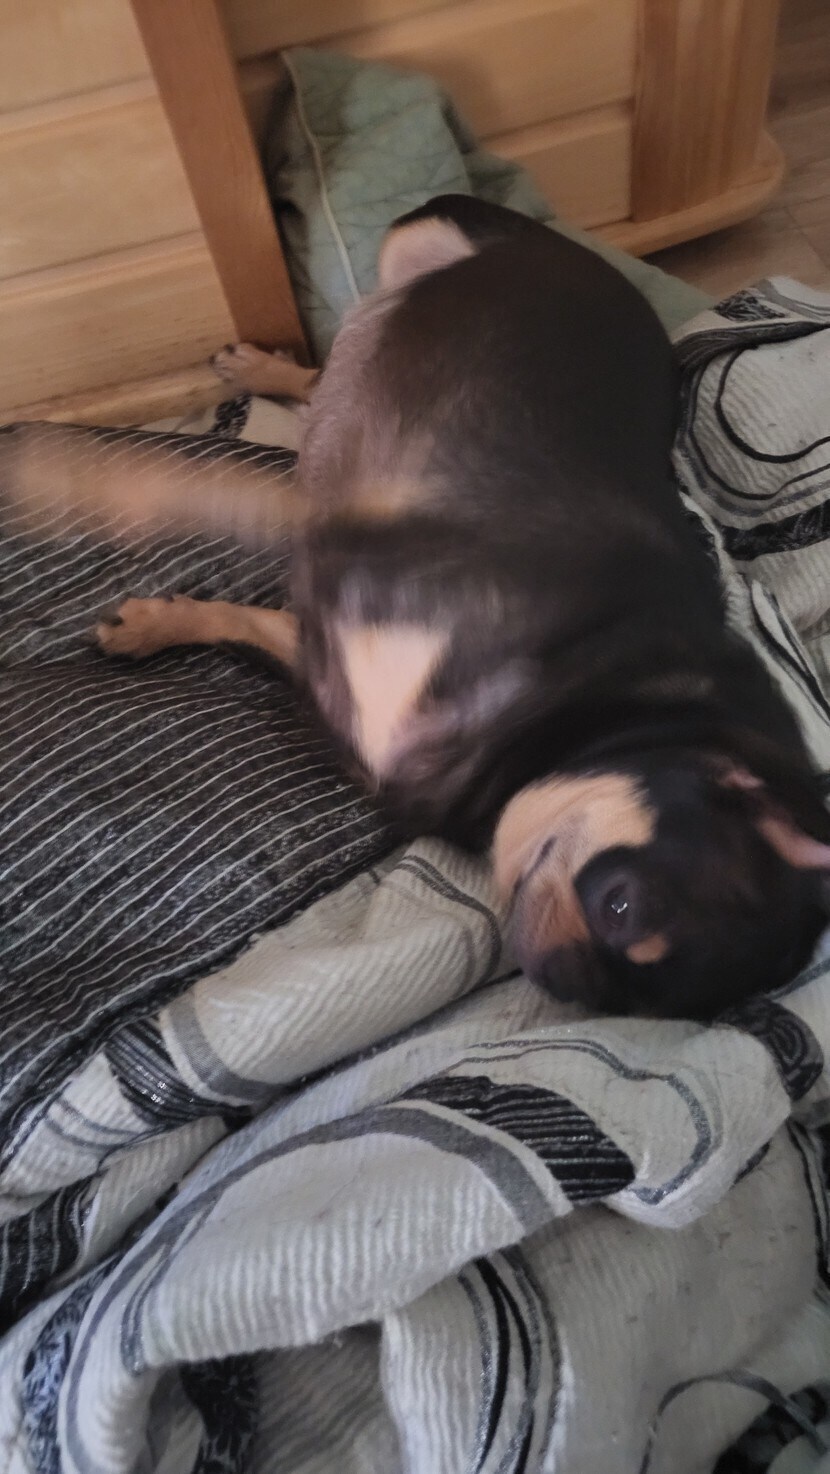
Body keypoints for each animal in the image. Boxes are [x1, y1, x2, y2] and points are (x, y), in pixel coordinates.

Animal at [3, 195, 830, 1020]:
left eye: (631, 1003)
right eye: (621, 905)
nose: (555, 980)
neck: (607, 711)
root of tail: (578, 252)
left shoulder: (345, 657)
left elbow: (248, 614)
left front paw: (152, 622)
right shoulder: (361, 546)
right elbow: (219, 497)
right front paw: (80, 487)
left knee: (326, 374)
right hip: (423, 235)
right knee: (332, 355)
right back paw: (263, 369)